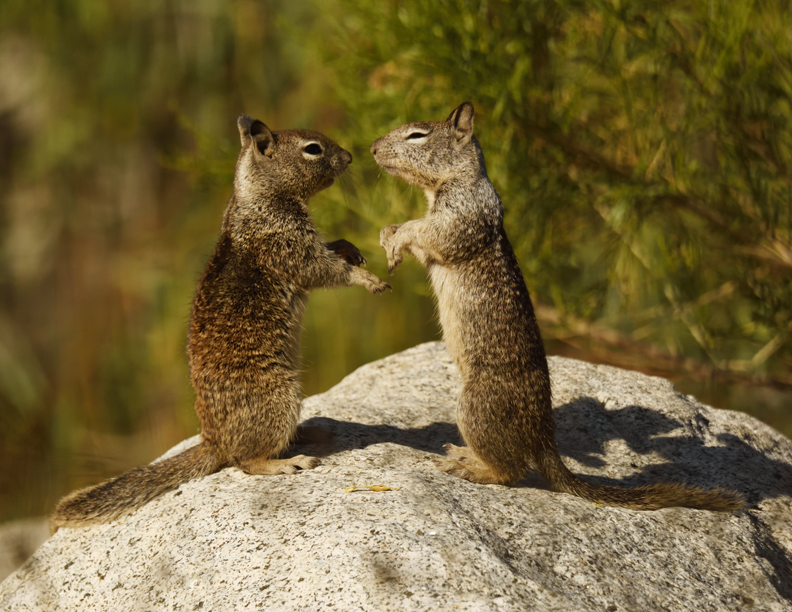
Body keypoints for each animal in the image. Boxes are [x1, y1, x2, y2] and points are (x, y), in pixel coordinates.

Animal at [50, 115, 390, 533]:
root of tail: (214, 441)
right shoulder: (288, 247)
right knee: (245, 461)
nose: (350, 156)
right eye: (313, 149)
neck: (254, 199)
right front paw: (368, 279)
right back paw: (287, 461)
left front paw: (350, 248)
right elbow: (323, 270)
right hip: (279, 397)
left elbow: (331, 250)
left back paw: (311, 431)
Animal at [372, 102, 743, 512]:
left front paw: (398, 237)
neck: (449, 183)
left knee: (512, 471)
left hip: (475, 406)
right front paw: (387, 237)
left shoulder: (460, 217)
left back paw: (472, 468)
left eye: (417, 135)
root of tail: (544, 438)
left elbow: (428, 232)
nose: (371, 148)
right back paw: (466, 455)